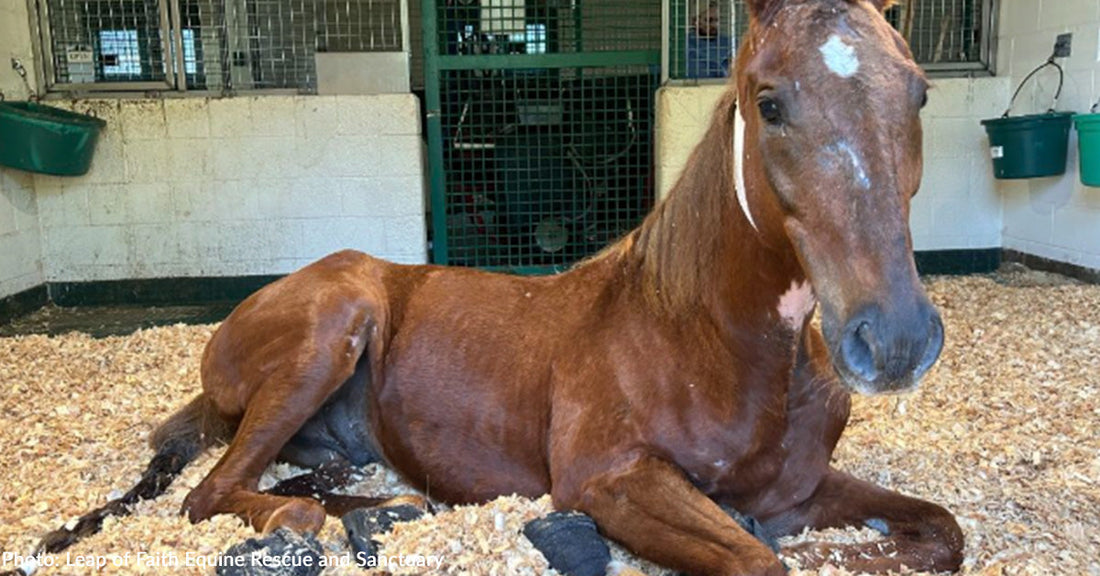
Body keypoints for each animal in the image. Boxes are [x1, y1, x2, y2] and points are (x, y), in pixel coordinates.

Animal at [24, 0, 964, 574]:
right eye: (770, 102)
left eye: (919, 94)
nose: (895, 340)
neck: (707, 338)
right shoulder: (610, 483)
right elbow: (758, 556)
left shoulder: (800, 489)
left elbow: (941, 532)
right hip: (330, 330)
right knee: (213, 494)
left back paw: (383, 511)